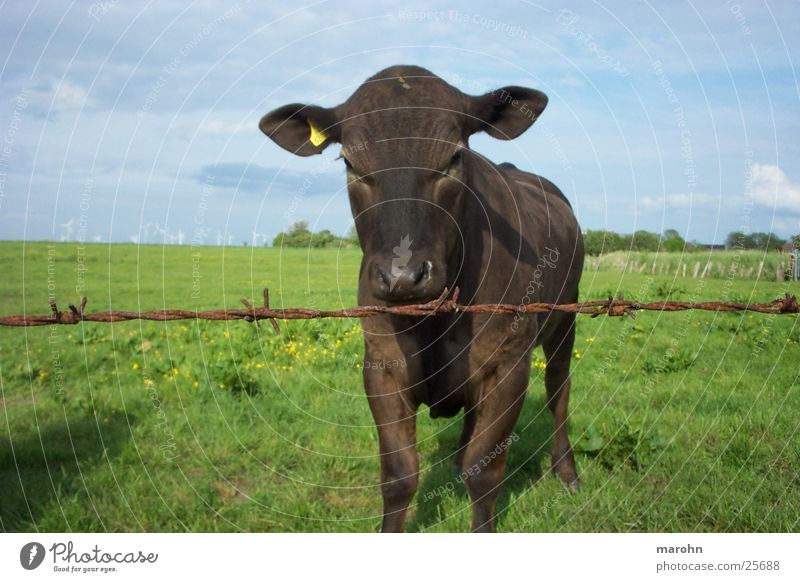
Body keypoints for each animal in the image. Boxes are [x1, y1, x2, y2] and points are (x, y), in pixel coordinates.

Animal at [260, 65, 584, 532]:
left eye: (454, 158)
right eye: (350, 162)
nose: (403, 277)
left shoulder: (508, 362)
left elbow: (485, 473)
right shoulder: (382, 364)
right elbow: (399, 476)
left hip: (565, 319)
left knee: (559, 388)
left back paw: (567, 470)